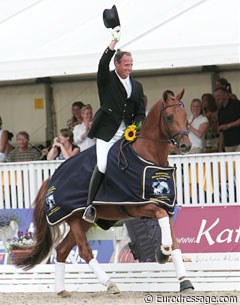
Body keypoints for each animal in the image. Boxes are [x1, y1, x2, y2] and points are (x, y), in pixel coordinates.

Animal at [16, 90, 193, 294]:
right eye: (169, 117)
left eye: (185, 116)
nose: (186, 146)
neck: (147, 157)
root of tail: (52, 178)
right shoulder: (140, 207)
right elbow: (162, 221)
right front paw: (162, 253)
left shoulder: (166, 207)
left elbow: (175, 242)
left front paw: (185, 282)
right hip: (75, 219)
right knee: (84, 251)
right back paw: (110, 284)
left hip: (82, 222)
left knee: (62, 250)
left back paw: (61, 290)